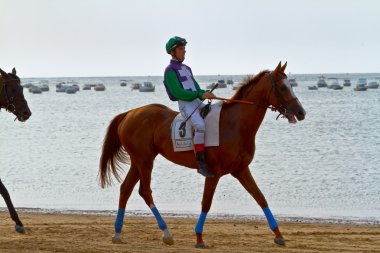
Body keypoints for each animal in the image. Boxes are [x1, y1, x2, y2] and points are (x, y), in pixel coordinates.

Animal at [98, 62, 306, 248]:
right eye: (282, 87)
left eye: (291, 85)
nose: (301, 112)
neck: (234, 125)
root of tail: (129, 113)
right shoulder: (213, 173)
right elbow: (206, 202)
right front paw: (199, 237)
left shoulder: (241, 170)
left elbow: (260, 197)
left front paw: (279, 235)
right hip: (145, 160)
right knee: (145, 191)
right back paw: (166, 232)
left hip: (138, 160)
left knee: (126, 189)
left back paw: (117, 233)